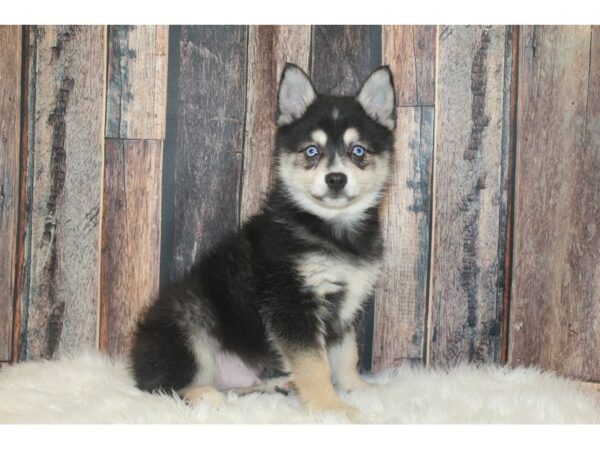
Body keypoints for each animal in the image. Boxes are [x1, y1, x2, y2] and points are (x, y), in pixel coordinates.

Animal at [131, 64, 394, 418]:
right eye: (312, 151)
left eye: (358, 151)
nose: (336, 179)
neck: (330, 226)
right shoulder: (291, 303)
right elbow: (315, 365)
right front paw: (330, 408)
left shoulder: (345, 306)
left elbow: (345, 357)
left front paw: (358, 389)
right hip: (189, 322)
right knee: (160, 386)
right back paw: (202, 396)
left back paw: (276, 385)